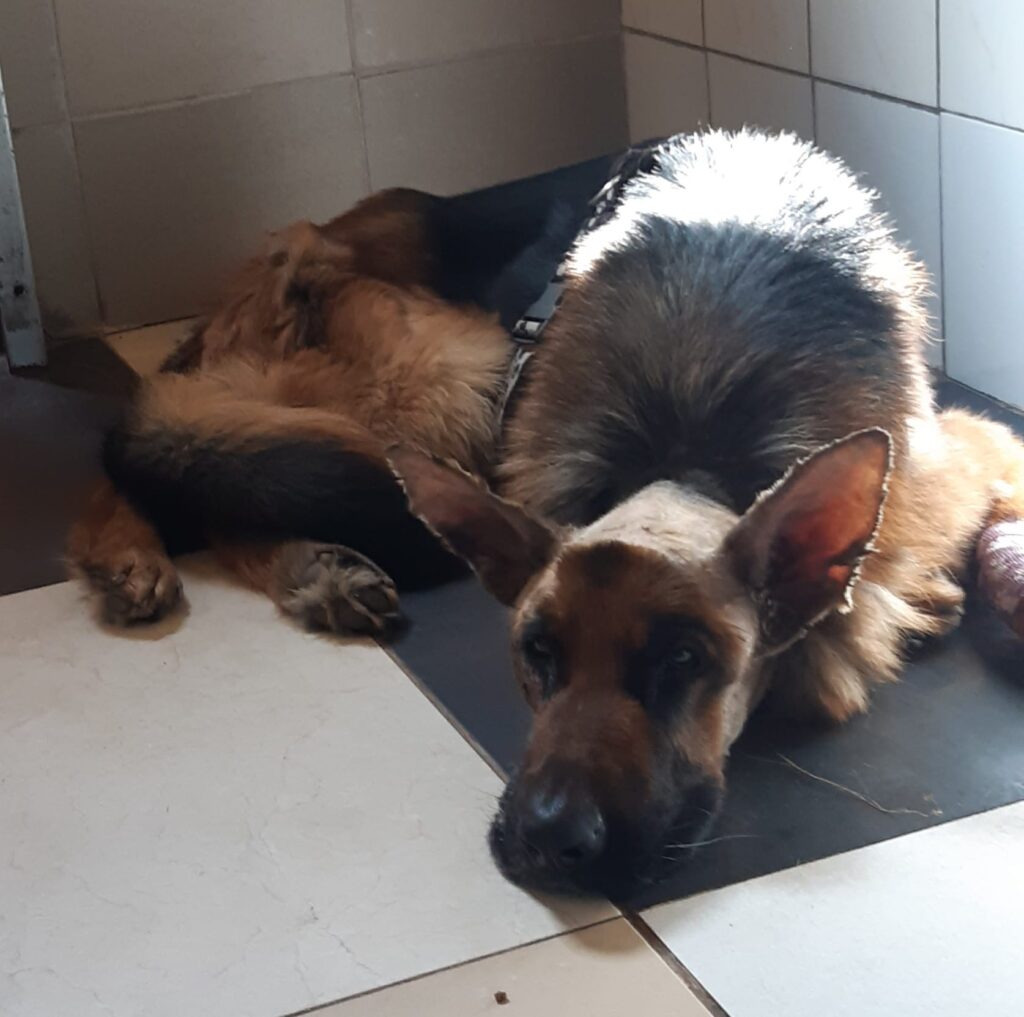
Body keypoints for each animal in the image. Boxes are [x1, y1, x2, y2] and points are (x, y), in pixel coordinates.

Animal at [69, 130, 1024, 898]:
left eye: (685, 661)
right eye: (535, 652)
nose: (549, 842)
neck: (689, 447)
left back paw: (303, 566)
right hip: (455, 372)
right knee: (167, 450)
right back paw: (139, 557)